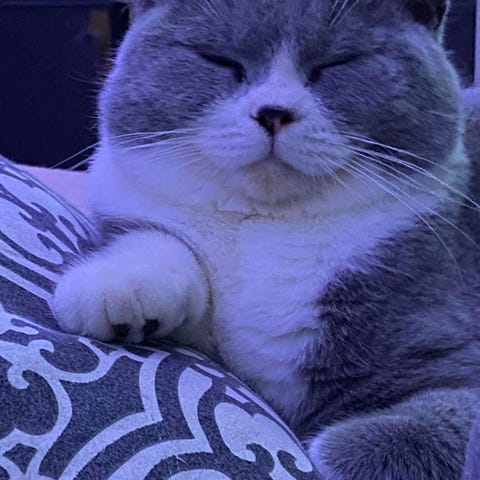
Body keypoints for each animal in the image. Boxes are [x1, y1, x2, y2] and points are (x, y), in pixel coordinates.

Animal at [51, 0, 480, 478]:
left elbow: (449, 408)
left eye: (336, 64)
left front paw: (336, 449)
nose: (274, 112)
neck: (264, 227)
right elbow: (159, 240)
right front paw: (117, 287)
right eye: (220, 60)